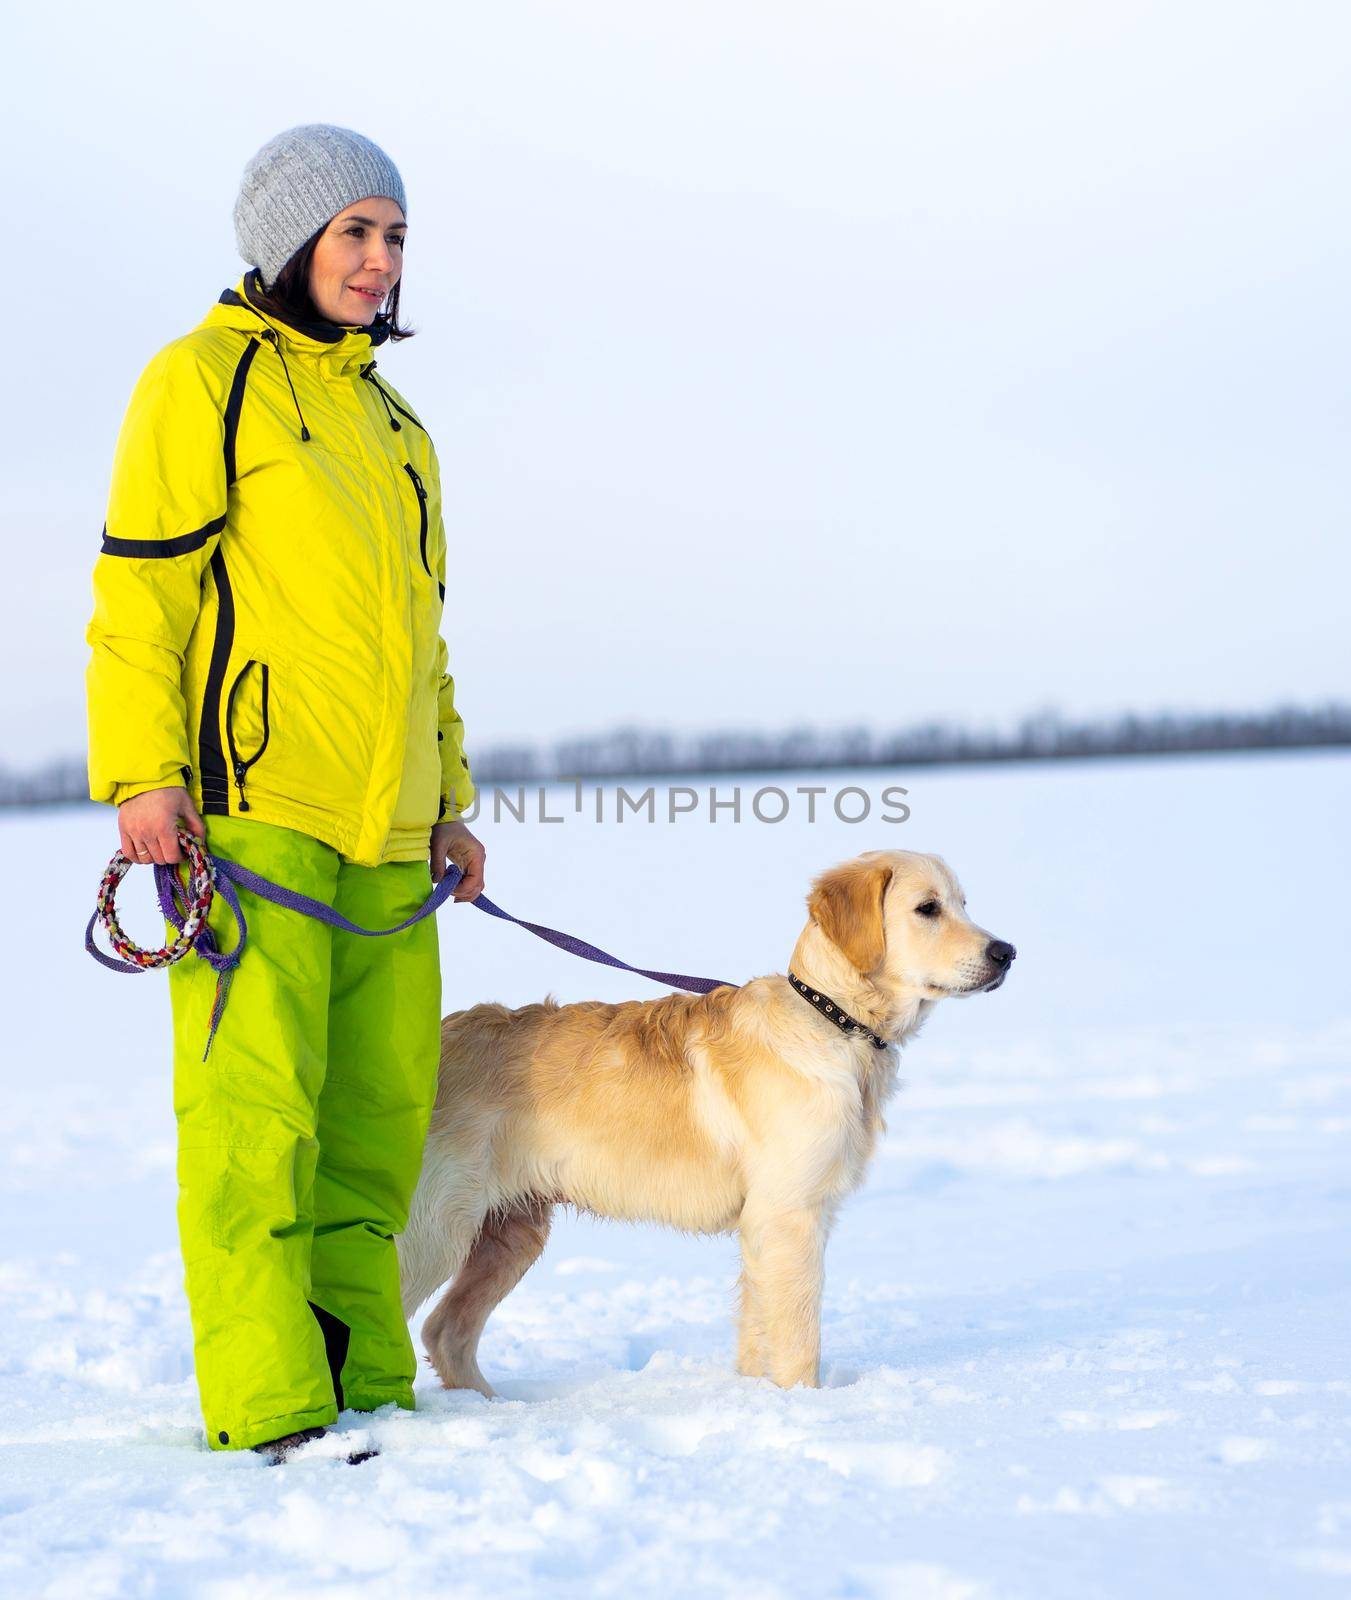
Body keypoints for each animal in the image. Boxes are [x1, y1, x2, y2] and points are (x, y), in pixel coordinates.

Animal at [401, 851, 1011, 1388]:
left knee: (444, 1331)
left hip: (510, 1233)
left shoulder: (764, 1224)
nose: (1007, 951)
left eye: (963, 902)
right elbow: (798, 1336)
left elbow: (758, 1333)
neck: (833, 1019)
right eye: (927, 908)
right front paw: (804, 1406)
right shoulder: (789, 1215)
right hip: (436, 1227)